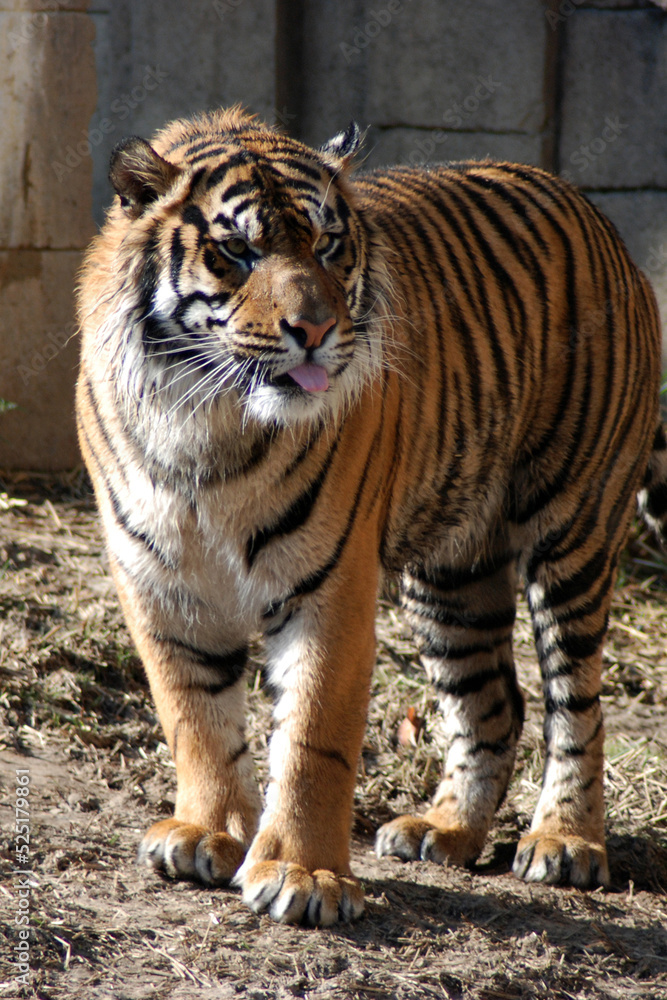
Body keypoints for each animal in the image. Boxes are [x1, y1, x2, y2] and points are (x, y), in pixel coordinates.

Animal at [76, 107, 666, 927]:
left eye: (327, 245)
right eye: (237, 251)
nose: (315, 330)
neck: (205, 419)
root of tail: (596, 213)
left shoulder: (331, 583)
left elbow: (313, 738)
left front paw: (304, 876)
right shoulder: (159, 578)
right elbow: (193, 715)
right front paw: (206, 832)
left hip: (573, 530)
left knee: (574, 701)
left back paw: (565, 843)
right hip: (452, 573)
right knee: (493, 702)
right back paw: (443, 831)